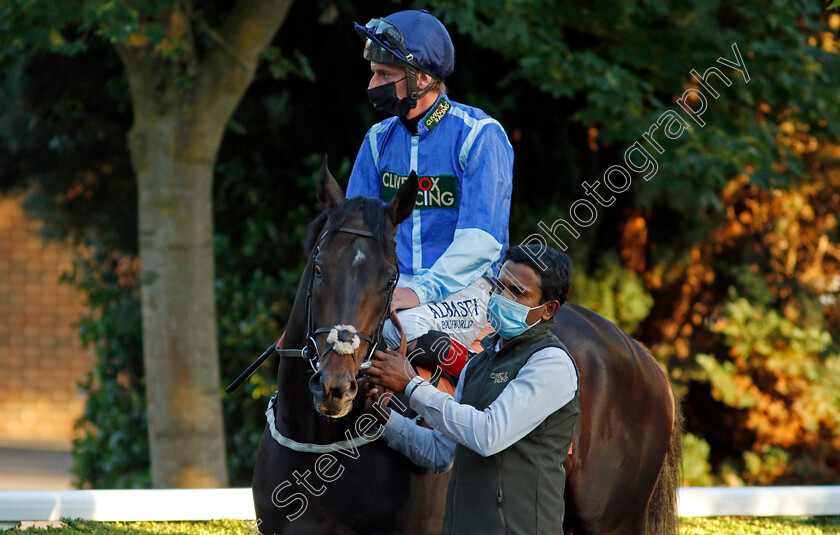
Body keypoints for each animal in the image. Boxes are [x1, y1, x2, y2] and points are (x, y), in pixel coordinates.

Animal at [251, 159, 684, 535]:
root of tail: (645, 357)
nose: (335, 386)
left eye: (390, 279)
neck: (320, 442)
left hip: (613, 518)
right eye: (319, 267)